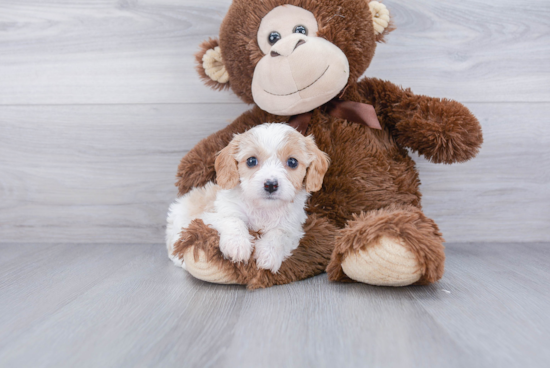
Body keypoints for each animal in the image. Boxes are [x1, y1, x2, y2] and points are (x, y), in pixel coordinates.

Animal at [166, 123, 330, 274]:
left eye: (292, 162)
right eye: (251, 161)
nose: (271, 185)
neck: (264, 209)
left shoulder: (292, 227)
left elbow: (279, 233)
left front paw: (268, 254)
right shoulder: (213, 215)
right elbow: (233, 219)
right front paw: (237, 245)